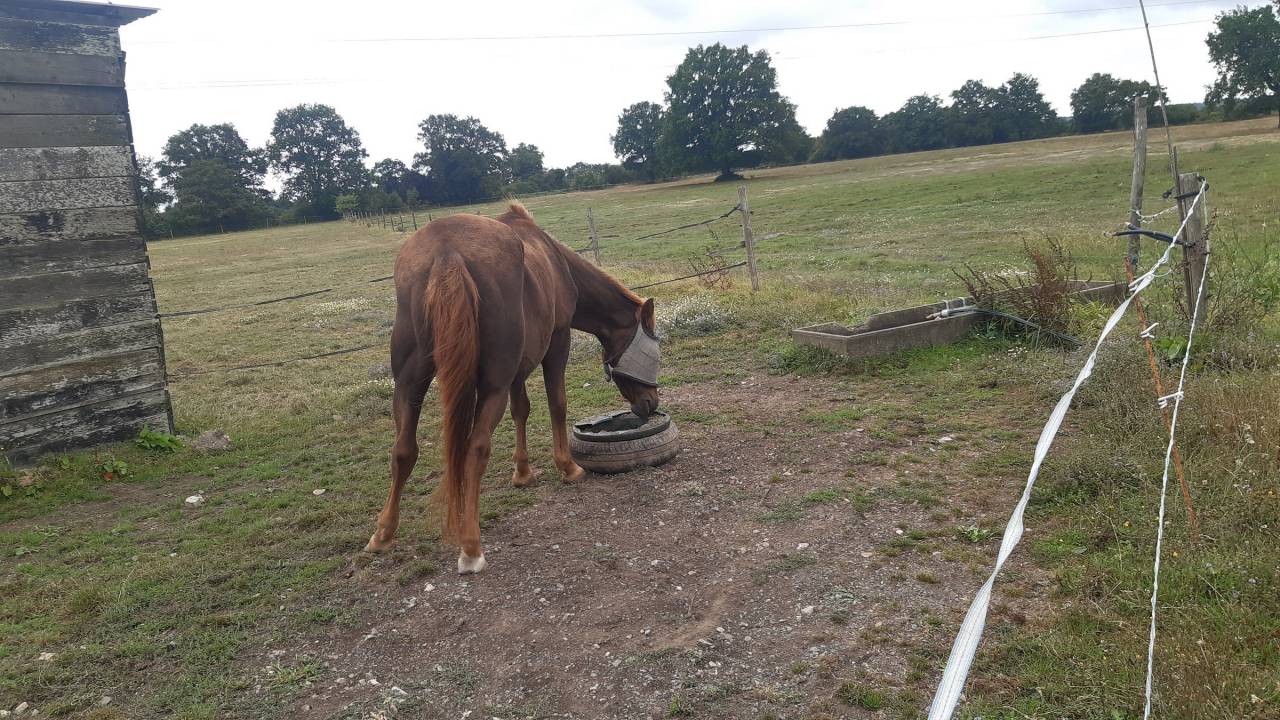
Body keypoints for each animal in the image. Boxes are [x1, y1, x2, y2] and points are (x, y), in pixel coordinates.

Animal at [364, 202, 661, 574]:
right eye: (655, 347)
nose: (651, 402)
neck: (556, 262)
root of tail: (447, 251)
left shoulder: (518, 369)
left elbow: (522, 411)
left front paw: (522, 472)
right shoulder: (556, 343)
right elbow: (556, 404)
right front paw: (568, 467)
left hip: (409, 384)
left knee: (403, 450)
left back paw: (383, 534)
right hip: (493, 385)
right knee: (476, 448)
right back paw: (471, 547)